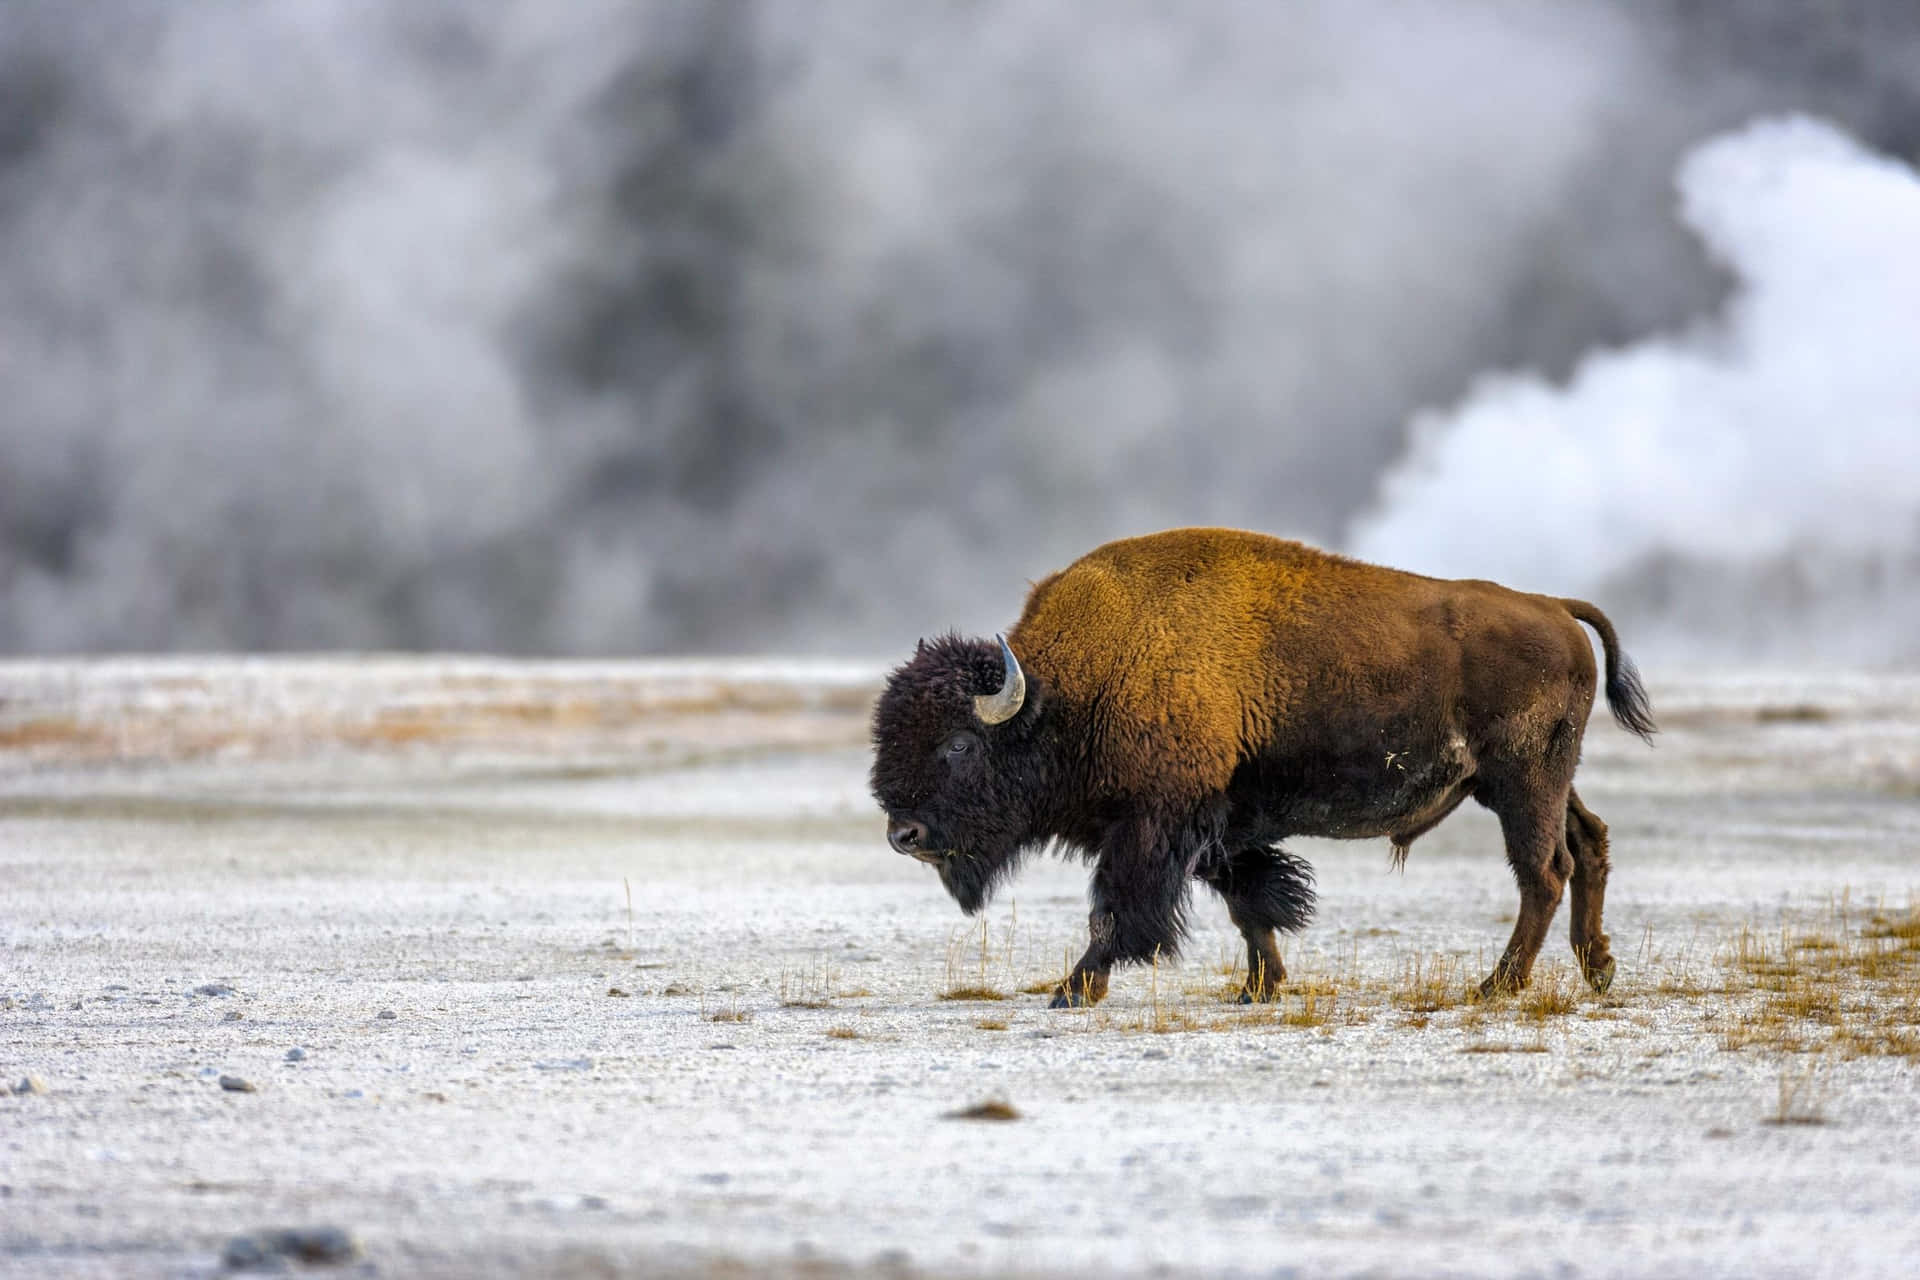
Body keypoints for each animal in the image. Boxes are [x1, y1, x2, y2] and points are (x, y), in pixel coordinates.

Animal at [867, 525, 1651, 1005]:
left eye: (959, 744)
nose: (903, 835)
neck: (1072, 690)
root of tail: (1553, 607)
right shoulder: (1222, 825)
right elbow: (1250, 904)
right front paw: (1258, 987)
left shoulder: (1155, 825)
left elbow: (1115, 913)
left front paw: (1071, 990)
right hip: (1533, 782)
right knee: (1588, 842)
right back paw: (1598, 968)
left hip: (1523, 781)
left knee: (1543, 871)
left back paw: (1498, 985)